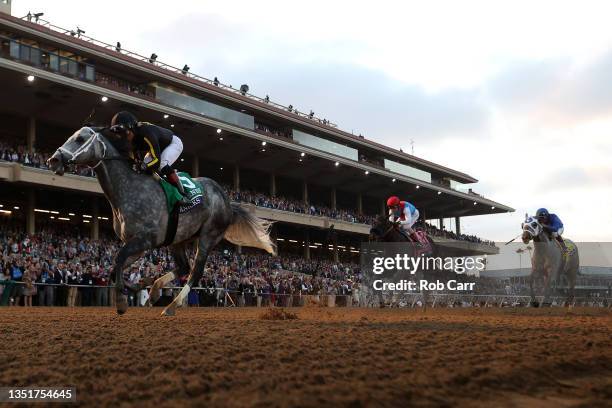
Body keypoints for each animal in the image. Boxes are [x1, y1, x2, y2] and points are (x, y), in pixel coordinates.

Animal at [46, 126, 276, 316]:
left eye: (80, 138)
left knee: (195, 272)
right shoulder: (137, 245)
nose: (53, 160)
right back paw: (156, 289)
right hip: (178, 239)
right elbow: (114, 268)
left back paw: (172, 305)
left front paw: (121, 301)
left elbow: (118, 260)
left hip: (208, 236)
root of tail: (227, 200)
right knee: (183, 268)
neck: (128, 190)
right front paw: (137, 287)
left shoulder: (145, 240)